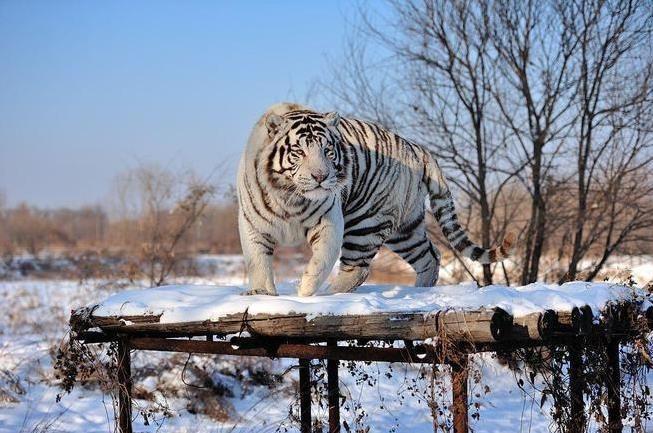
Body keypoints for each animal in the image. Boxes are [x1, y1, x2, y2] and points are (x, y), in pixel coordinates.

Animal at [237, 103, 512, 296]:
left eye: (327, 150)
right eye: (299, 152)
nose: (321, 176)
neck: (290, 197)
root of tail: (418, 149)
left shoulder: (329, 220)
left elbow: (322, 260)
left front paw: (304, 290)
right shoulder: (254, 225)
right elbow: (258, 262)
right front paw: (261, 293)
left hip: (366, 222)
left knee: (358, 268)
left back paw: (330, 293)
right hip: (405, 230)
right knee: (430, 256)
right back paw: (420, 290)